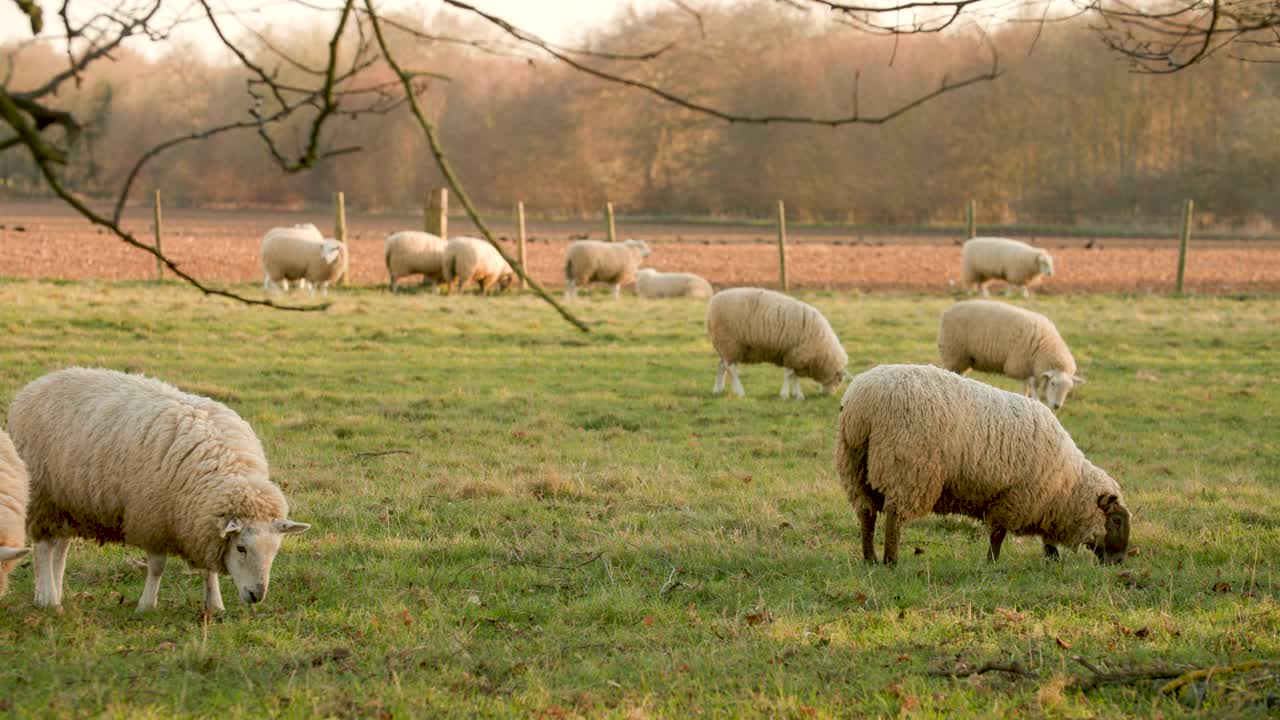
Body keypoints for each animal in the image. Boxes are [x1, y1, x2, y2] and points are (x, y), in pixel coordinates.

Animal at [9, 366, 309, 607]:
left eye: (275, 550)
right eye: (242, 549)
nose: (257, 596)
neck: (227, 468)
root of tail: (40, 381)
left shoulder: (200, 523)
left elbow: (209, 569)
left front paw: (215, 605)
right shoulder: (152, 518)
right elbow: (156, 567)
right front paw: (146, 605)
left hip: (67, 500)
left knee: (60, 548)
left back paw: (54, 593)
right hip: (43, 497)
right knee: (44, 548)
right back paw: (48, 600)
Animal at [711, 285, 849, 397]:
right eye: (839, 380)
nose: (828, 395)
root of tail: (714, 300)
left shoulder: (795, 356)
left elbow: (794, 375)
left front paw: (797, 394)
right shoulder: (794, 353)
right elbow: (790, 374)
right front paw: (786, 394)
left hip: (726, 346)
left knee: (721, 366)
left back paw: (718, 389)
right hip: (729, 343)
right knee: (731, 369)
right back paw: (739, 391)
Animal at [839, 363, 1131, 566]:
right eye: (1116, 520)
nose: (1119, 563)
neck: (1068, 485)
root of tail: (862, 406)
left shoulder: (1041, 504)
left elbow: (1044, 538)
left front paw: (1052, 559)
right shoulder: (1014, 498)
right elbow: (998, 535)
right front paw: (992, 564)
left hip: (855, 465)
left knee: (866, 513)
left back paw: (870, 558)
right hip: (907, 468)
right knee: (893, 518)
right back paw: (891, 561)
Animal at [936, 298, 1085, 409]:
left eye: (1069, 389)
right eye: (1053, 384)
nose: (1056, 406)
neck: (1045, 346)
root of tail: (947, 312)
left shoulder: (1031, 368)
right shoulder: (1022, 366)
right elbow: (1028, 388)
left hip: (964, 359)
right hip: (952, 353)